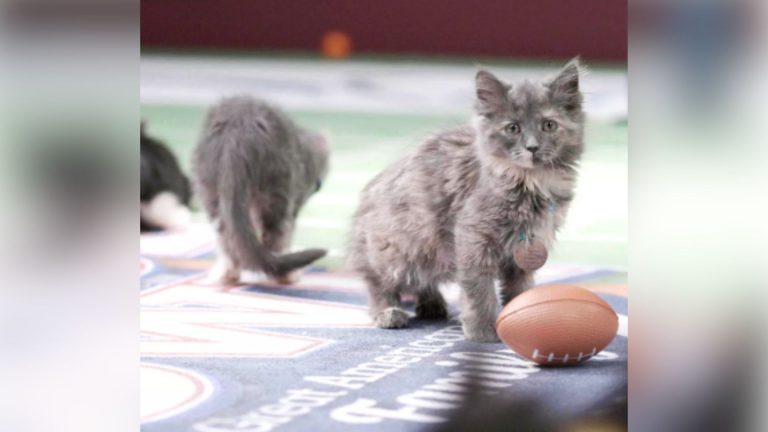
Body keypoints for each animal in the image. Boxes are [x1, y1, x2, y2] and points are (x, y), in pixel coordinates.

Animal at [194, 95, 328, 284]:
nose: (317, 185)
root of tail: (239, 125)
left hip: (211, 189)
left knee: (227, 237)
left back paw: (227, 273)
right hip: (277, 191)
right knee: (275, 237)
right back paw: (285, 276)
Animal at [348, 58, 584, 340]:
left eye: (548, 125)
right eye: (513, 128)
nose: (532, 147)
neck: (530, 182)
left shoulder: (528, 247)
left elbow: (521, 289)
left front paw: (525, 321)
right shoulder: (473, 237)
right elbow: (479, 291)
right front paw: (482, 332)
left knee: (422, 281)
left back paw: (432, 304)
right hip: (396, 248)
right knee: (379, 284)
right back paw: (389, 313)